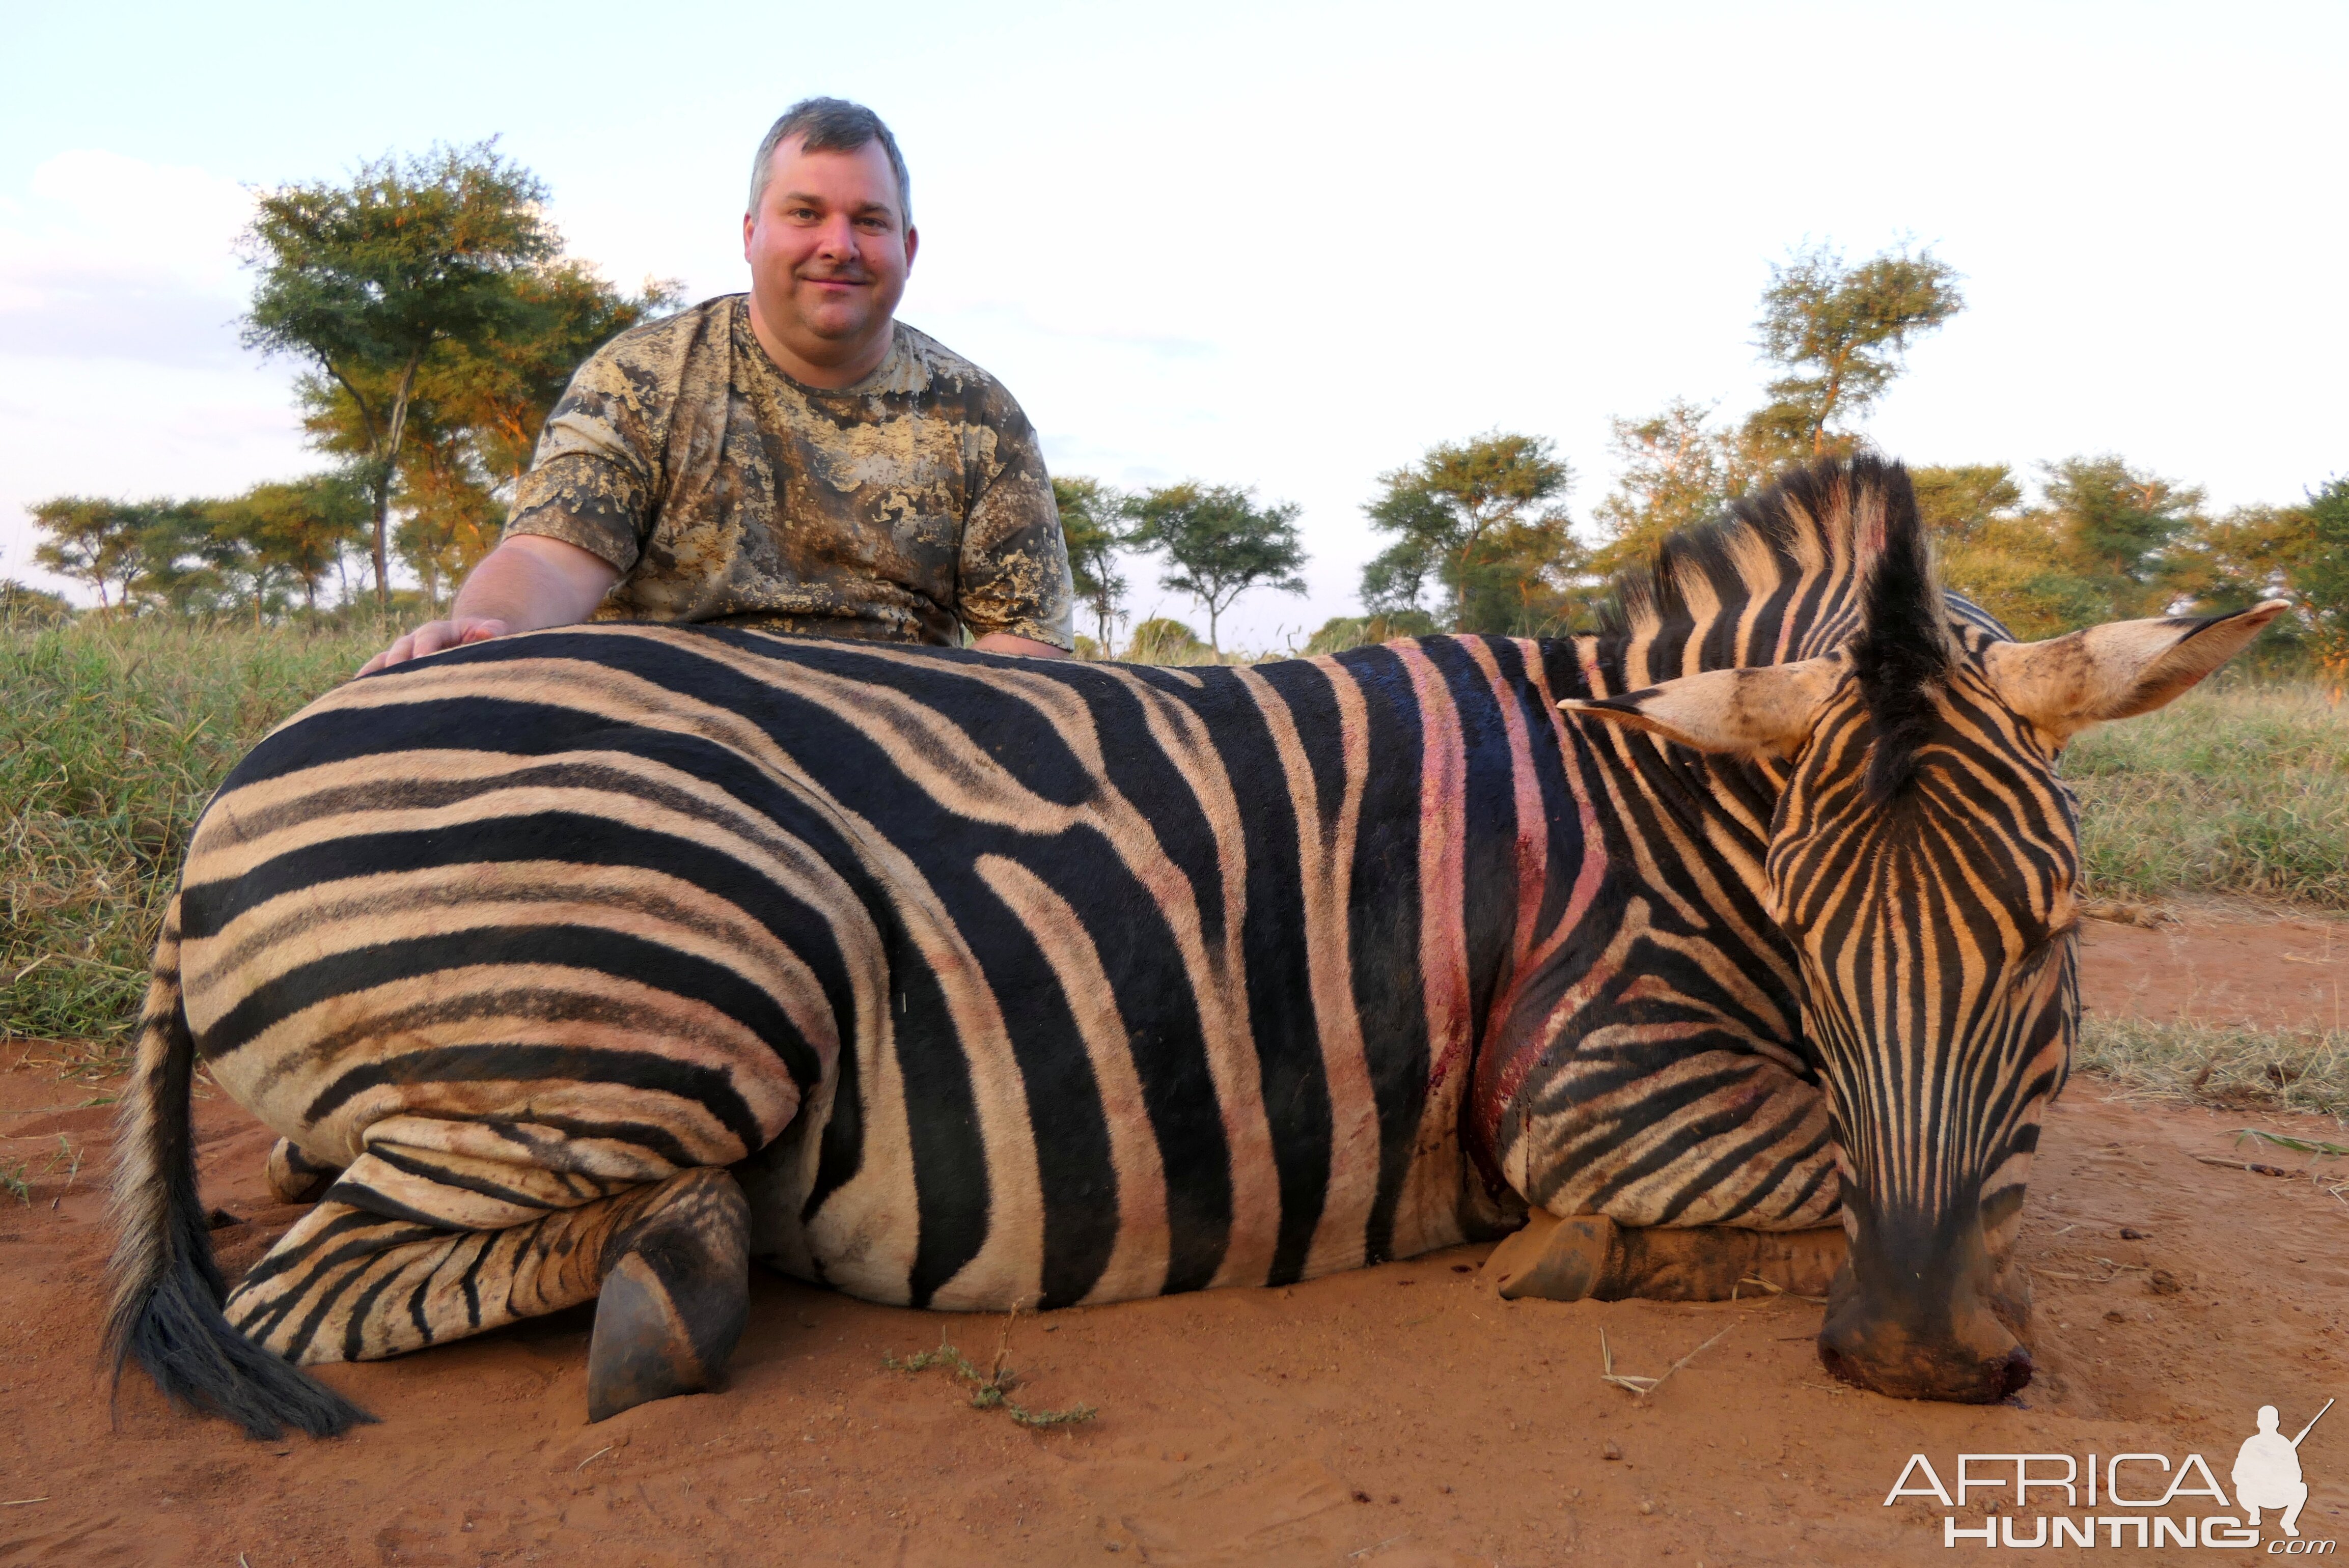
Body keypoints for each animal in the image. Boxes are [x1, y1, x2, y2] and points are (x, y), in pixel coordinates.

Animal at [105, 453, 2274, 1436]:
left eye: (2055, 942)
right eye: (1810, 949)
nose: (1909, 1360)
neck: (1661, 810)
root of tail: (257, 762)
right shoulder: (1592, 1075)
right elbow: (1902, 1182)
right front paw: (1583, 1255)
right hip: (683, 974)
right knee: (322, 1291)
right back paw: (677, 1281)